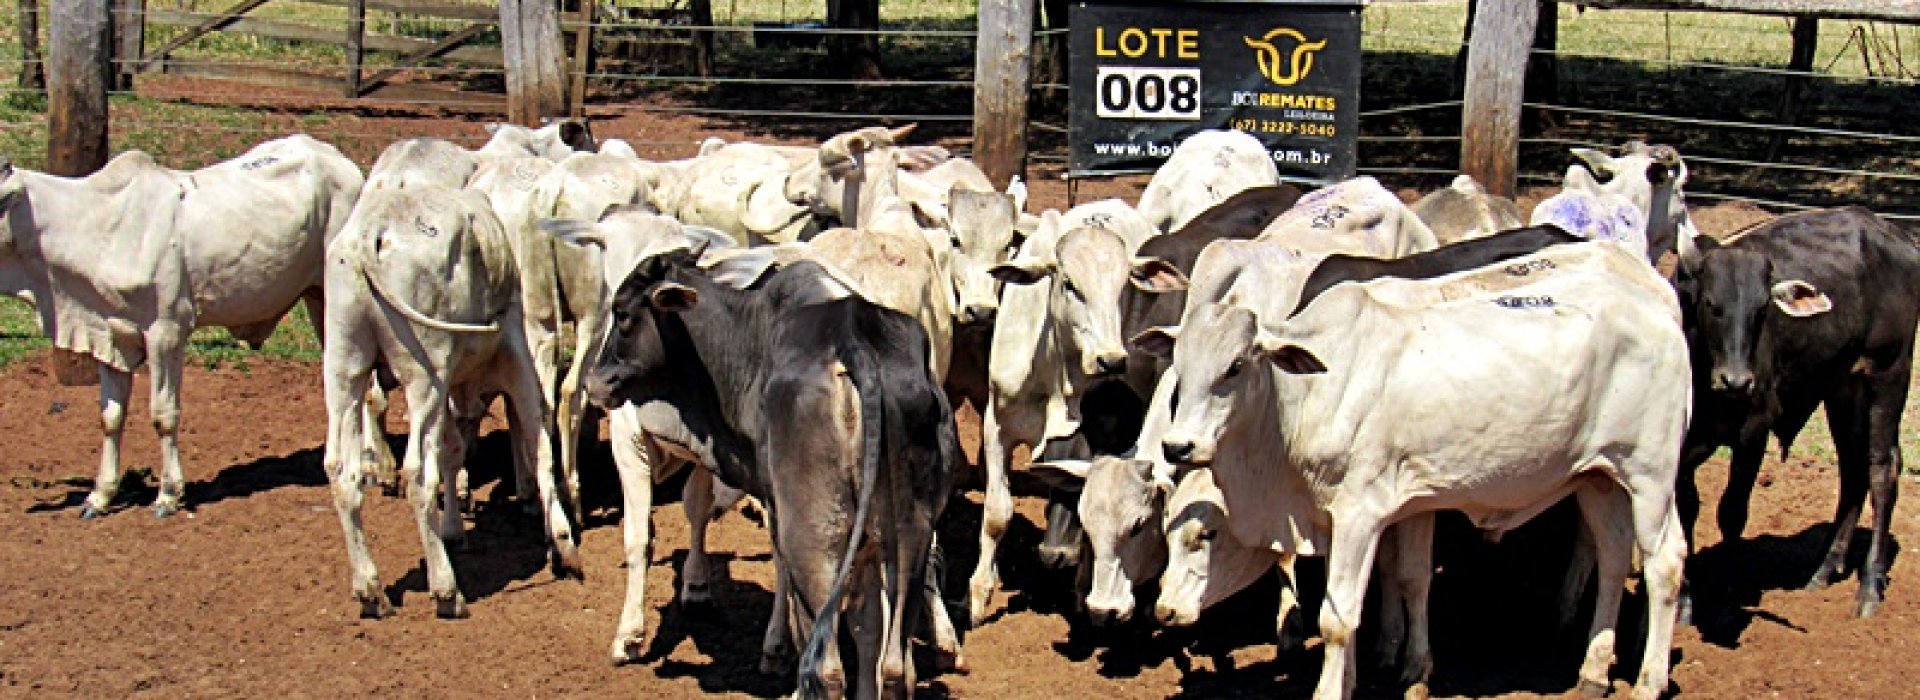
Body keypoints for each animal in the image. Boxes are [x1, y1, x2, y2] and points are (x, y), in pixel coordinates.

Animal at [0, 137, 365, 518]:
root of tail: (340, 159)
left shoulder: (166, 332)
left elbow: (163, 415)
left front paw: (168, 495)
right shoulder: (112, 336)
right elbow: (111, 417)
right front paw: (99, 497)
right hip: (316, 298)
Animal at [319, 182, 581, 620]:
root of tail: (371, 234)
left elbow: (452, 452)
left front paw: (454, 529)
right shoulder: (516, 352)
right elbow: (537, 440)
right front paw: (562, 542)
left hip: (344, 370)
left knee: (342, 473)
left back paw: (371, 590)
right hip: (424, 372)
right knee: (416, 475)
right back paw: (445, 588)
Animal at [569, 221, 960, 698]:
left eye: (622, 313)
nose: (595, 382)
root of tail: (858, 347)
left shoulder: (774, 499)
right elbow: (867, 629)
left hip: (814, 536)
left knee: (827, 665)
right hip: (908, 532)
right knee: (895, 665)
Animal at [1139, 240, 1690, 700]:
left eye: (1234, 367)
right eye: (1179, 370)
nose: (1179, 445)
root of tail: (1656, 303)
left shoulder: (1358, 514)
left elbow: (1338, 616)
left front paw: (1334, 690)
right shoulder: (1409, 503)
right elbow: (1405, 579)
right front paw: (1396, 670)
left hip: (1651, 474)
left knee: (1664, 563)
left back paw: (1648, 682)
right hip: (1599, 477)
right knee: (1614, 556)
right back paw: (1594, 671)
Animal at [1673, 206, 1920, 620]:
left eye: (1761, 310)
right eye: (1710, 303)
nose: (1737, 381)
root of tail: (1896, 235)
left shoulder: (1753, 432)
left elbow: (1732, 511)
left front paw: (1725, 594)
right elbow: (1683, 512)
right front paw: (1683, 602)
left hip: (1888, 373)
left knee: (1882, 470)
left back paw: (1869, 587)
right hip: (1843, 387)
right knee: (1853, 471)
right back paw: (1823, 571)